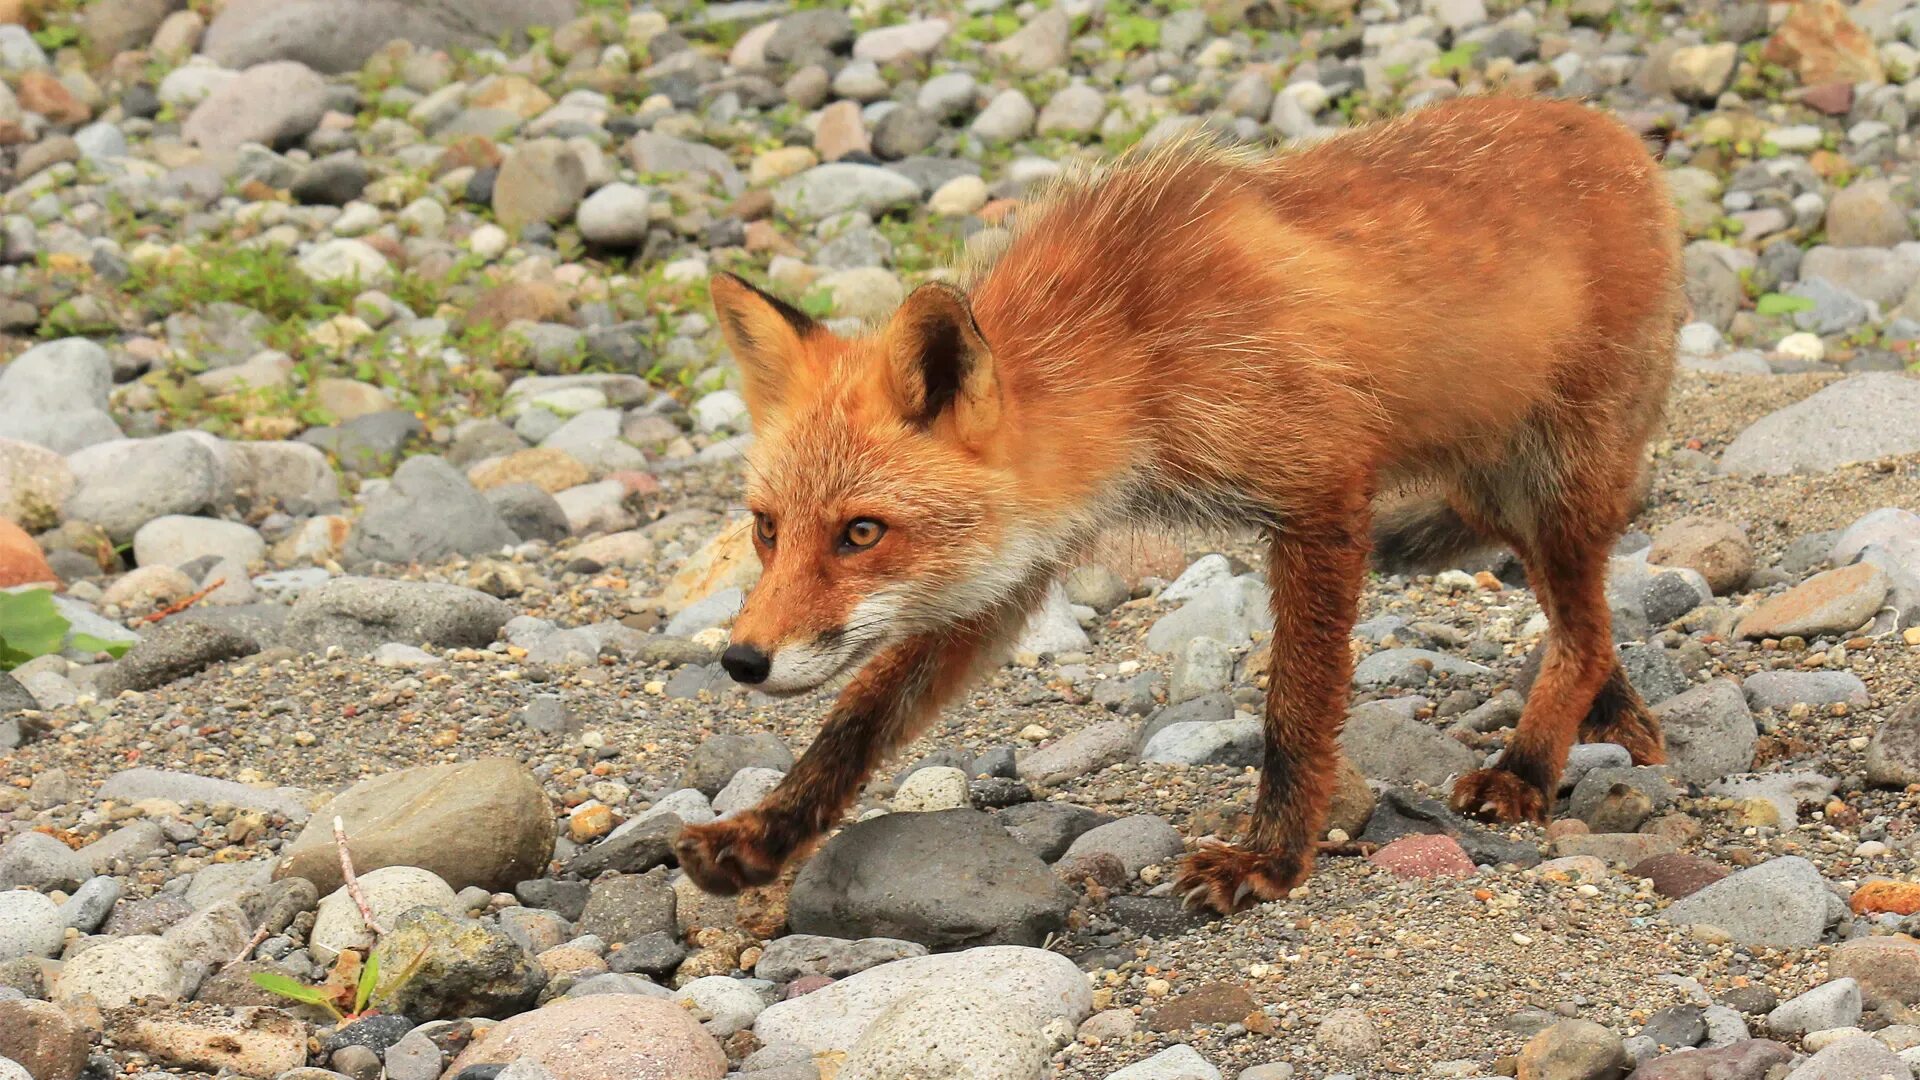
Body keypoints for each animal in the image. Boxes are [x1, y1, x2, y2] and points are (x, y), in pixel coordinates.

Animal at [675, 96, 1681, 910]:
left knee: (1581, 632)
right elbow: (857, 719)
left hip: (1553, 485)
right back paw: (1616, 721)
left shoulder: (1322, 495)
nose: (741, 660)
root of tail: (1614, 131)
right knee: (1588, 626)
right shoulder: (1012, 570)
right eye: (767, 529)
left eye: (861, 532)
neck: (1136, 349)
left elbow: (1296, 710)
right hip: (1503, 495)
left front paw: (1270, 858)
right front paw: (763, 834)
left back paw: (1529, 766)